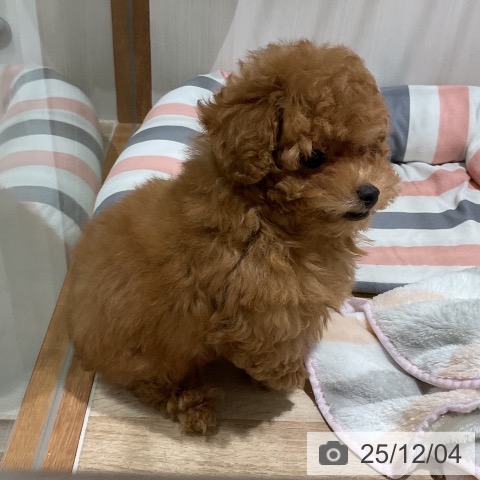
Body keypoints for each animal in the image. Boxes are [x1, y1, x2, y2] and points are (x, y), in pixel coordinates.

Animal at [66, 40, 399, 434]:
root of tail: (76, 325)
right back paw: (193, 403)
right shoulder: (264, 311)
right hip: (152, 357)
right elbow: (272, 349)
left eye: (369, 149)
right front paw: (287, 377)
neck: (266, 215)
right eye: (314, 158)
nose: (370, 192)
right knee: (154, 385)